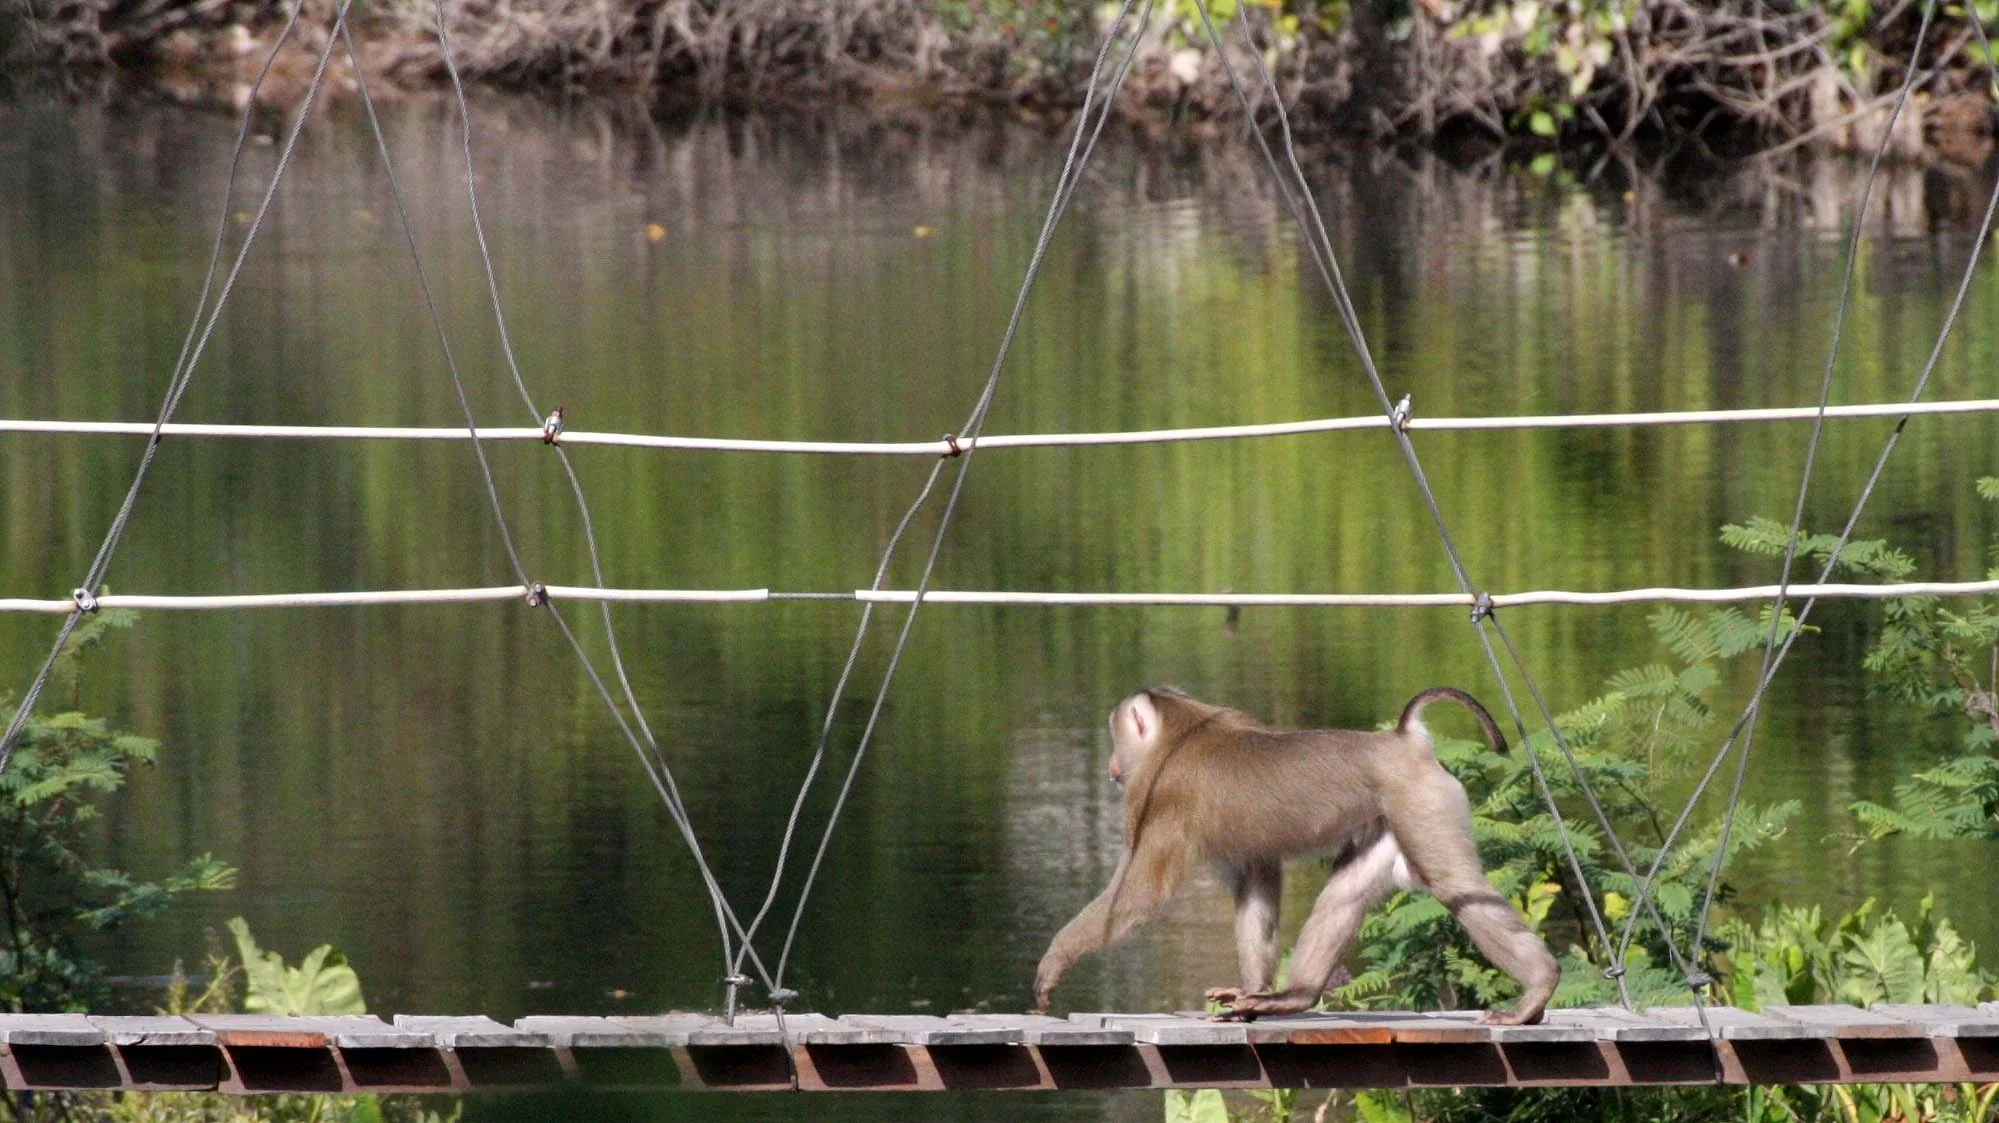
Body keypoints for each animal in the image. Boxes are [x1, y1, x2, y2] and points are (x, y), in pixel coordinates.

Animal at [1033, 686, 1559, 1025]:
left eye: (1117, 738)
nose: (1111, 766)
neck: (1181, 731)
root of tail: (1403, 741)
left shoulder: (1160, 795)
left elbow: (1141, 894)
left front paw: (1055, 959)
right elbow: (1257, 881)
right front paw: (1250, 991)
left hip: (1422, 801)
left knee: (1454, 885)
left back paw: (1538, 989)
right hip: (1391, 812)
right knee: (1348, 891)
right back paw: (1297, 997)